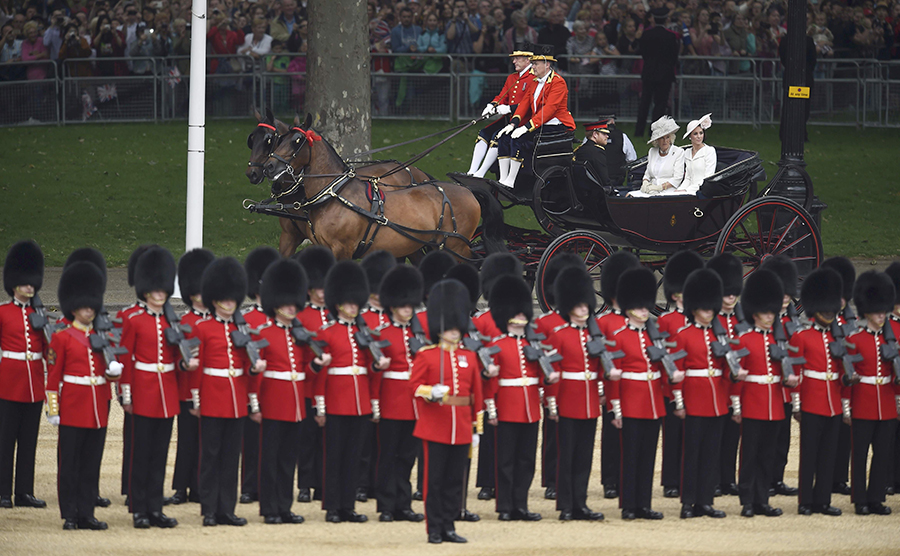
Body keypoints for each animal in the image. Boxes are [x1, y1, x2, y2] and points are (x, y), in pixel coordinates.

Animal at [262, 114, 506, 262]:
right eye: (279, 140)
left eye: (297, 141)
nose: (268, 167)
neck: (335, 194)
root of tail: (467, 190)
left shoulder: (342, 250)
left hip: (456, 248)